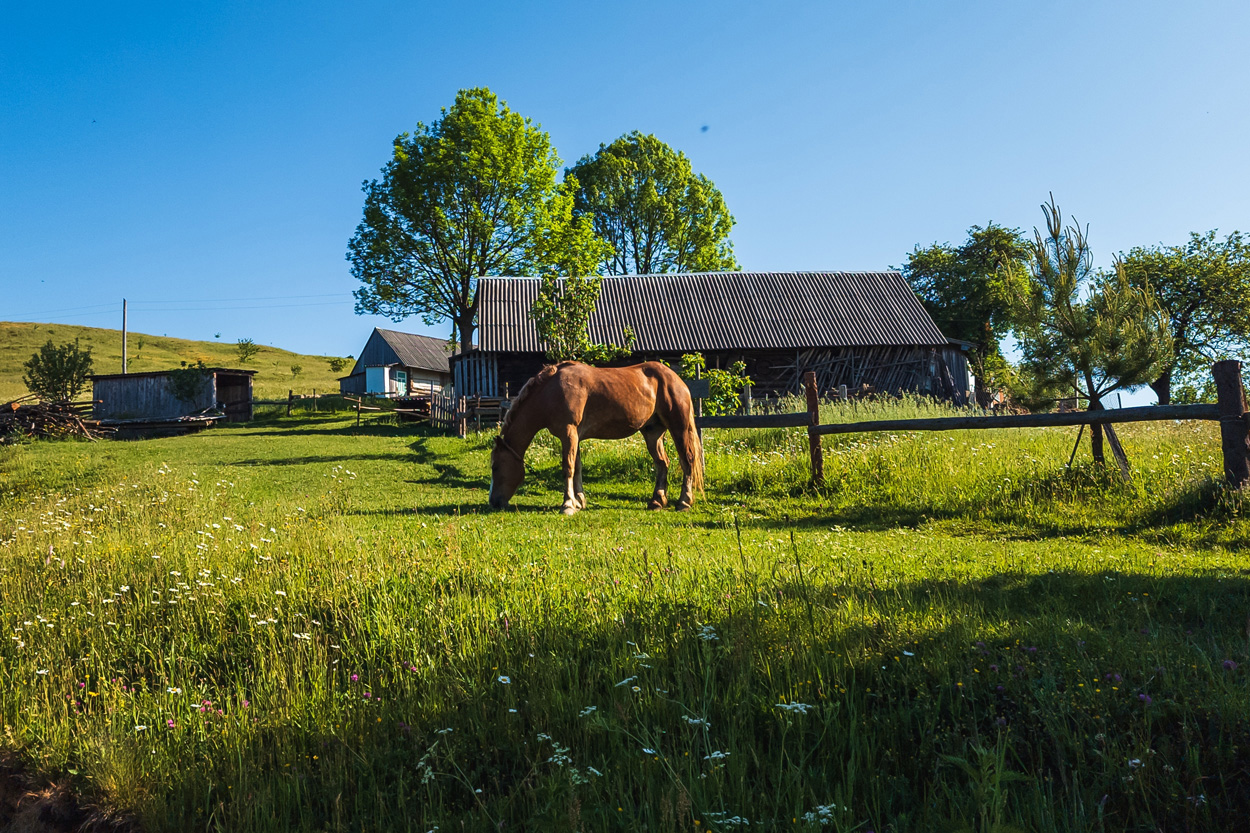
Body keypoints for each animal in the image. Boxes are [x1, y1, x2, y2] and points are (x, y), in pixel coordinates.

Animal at [487, 361, 704, 514]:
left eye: (495, 467)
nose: (493, 502)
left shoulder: (569, 432)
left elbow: (568, 467)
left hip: (679, 428)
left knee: (687, 461)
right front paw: (579, 502)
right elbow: (577, 467)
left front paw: (568, 505)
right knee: (662, 463)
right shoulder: (574, 436)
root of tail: (677, 380)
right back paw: (657, 501)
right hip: (653, 433)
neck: (551, 391)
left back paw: (684, 502)